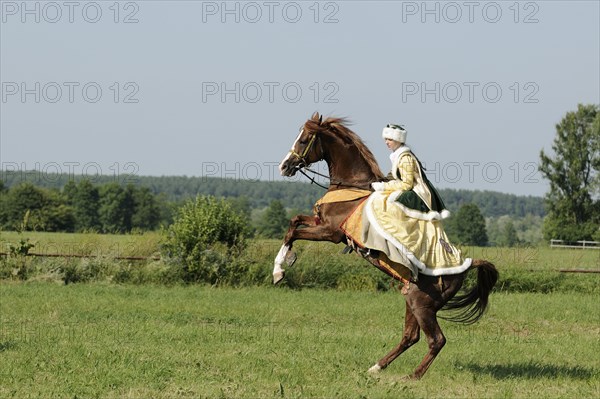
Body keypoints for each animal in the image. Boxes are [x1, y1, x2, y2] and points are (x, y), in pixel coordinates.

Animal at [274, 112, 500, 382]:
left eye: (304, 139)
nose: (284, 166)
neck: (352, 186)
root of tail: (465, 266)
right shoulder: (320, 223)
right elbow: (294, 221)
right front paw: (285, 261)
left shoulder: (331, 232)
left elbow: (292, 231)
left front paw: (280, 269)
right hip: (411, 299)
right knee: (411, 337)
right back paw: (377, 367)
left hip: (422, 304)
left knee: (436, 340)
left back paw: (412, 377)